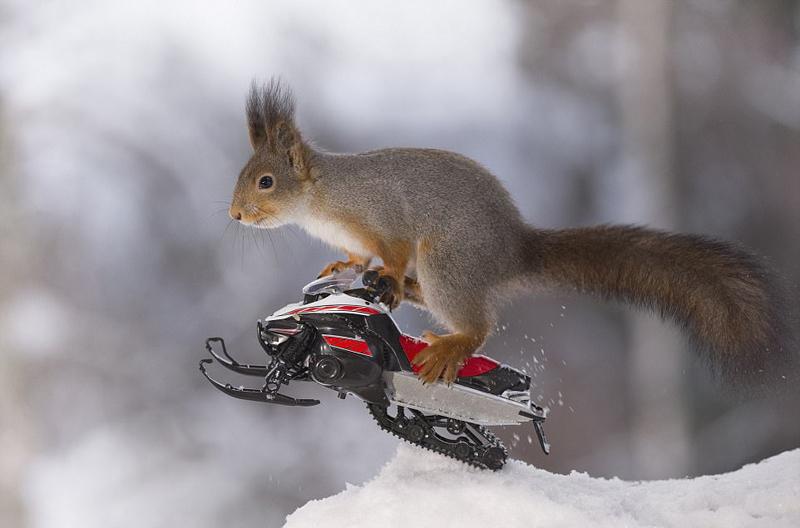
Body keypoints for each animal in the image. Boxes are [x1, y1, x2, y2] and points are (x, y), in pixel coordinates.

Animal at [225, 81, 792, 388]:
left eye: (266, 181)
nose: (234, 214)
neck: (319, 201)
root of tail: (514, 253)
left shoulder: (381, 216)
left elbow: (393, 248)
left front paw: (381, 271)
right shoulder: (355, 237)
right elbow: (356, 259)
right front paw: (343, 268)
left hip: (448, 261)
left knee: (478, 323)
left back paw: (449, 339)